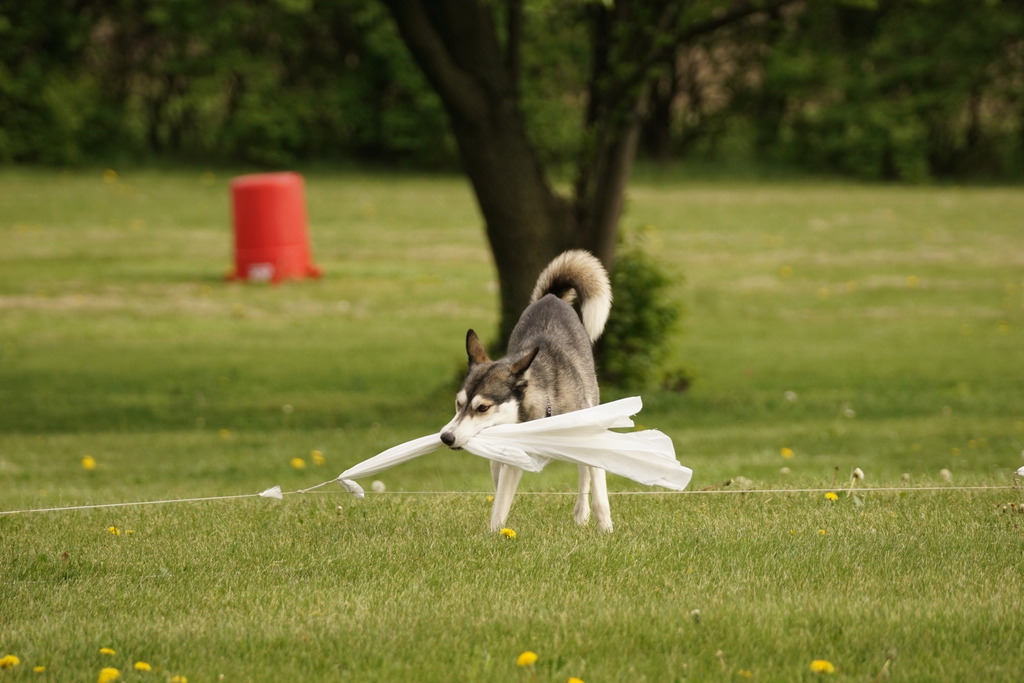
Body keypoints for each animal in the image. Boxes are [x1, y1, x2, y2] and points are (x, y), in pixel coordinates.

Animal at [438, 250, 610, 532]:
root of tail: (551, 297)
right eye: (458, 403)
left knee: (584, 476)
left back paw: (582, 514)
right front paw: (494, 534)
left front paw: (606, 529)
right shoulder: (509, 461)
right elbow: (500, 504)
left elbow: (598, 491)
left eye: (482, 407)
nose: (446, 437)